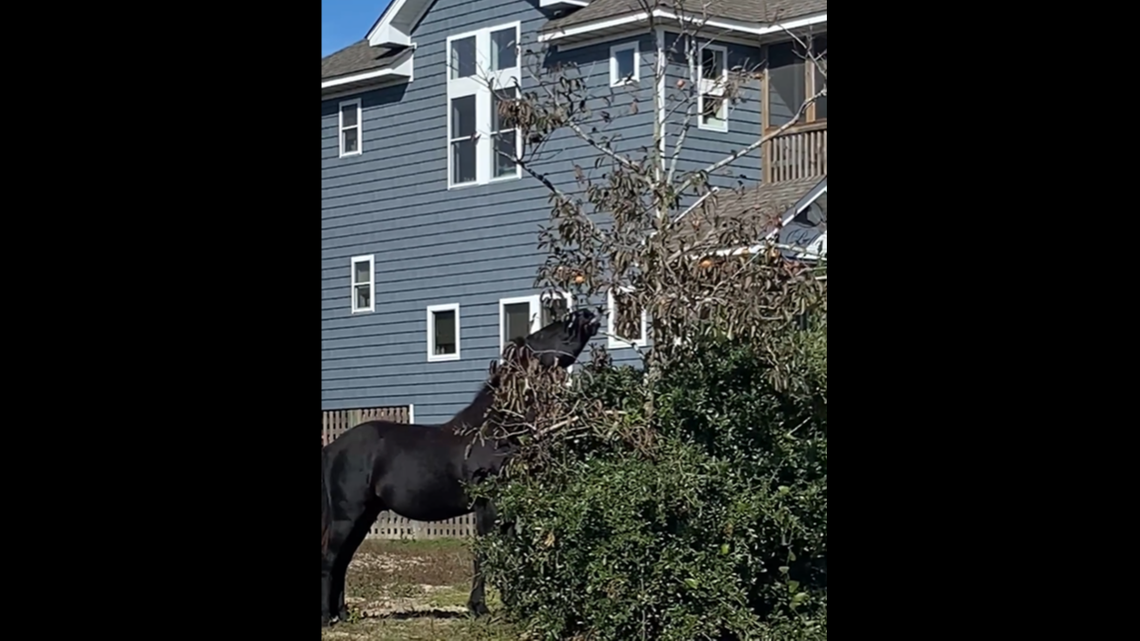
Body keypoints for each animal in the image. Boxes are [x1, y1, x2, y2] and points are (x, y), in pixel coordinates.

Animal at [321, 308, 601, 627]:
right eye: (543, 335)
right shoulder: (486, 506)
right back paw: (326, 617)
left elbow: (506, 553)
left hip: (364, 516)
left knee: (343, 560)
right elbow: (485, 554)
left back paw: (341, 614)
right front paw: (480, 607)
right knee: (331, 559)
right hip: (348, 514)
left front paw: (510, 605)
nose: (587, 314)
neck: (494, 432)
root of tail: (333, 447)